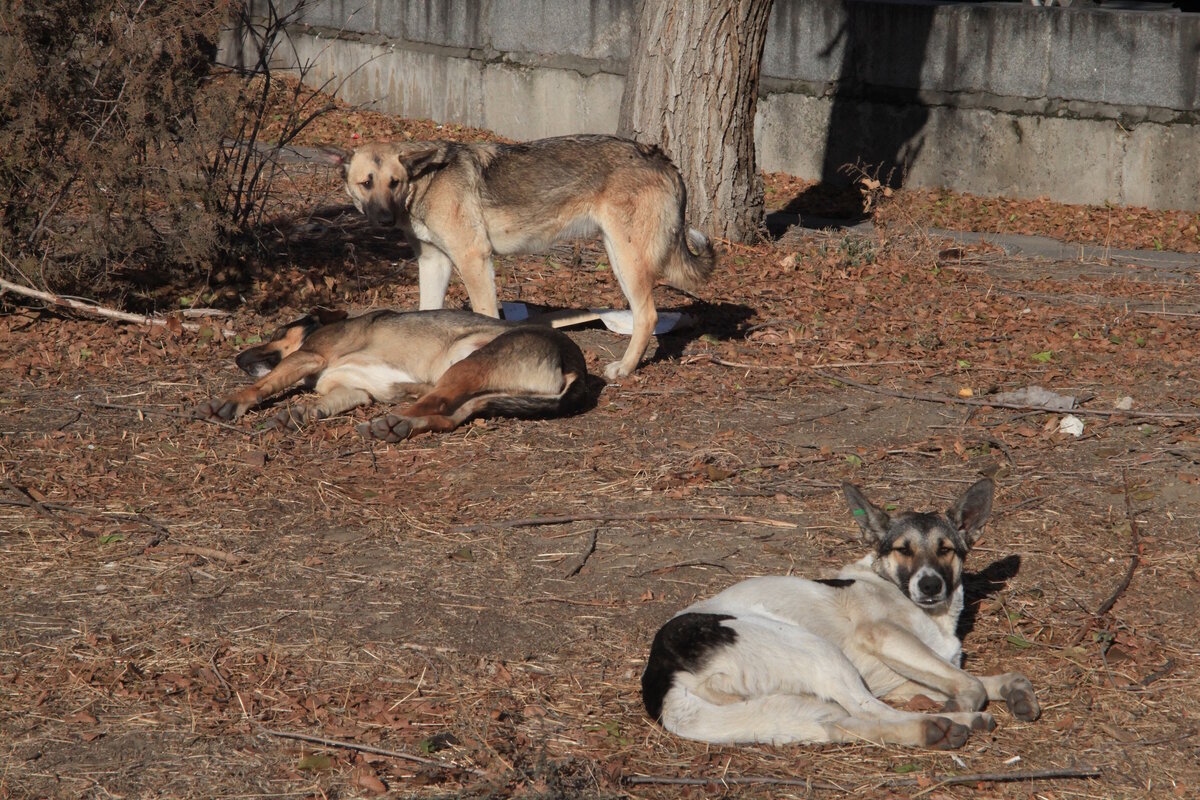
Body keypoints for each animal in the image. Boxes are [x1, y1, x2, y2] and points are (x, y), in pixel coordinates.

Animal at [192, 309, 590, 441]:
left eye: (276, 331)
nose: (237, 358)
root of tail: (578, 365)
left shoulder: (308, 355)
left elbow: (262, 384)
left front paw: (229, 403)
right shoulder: (354, 390)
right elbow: (323, 403)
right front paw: (300, 413)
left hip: (466, 364)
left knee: (435, 402)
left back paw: (392, 421)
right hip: (481, 394)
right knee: (447, 417)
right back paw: (399, 427)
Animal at [321, 133, 710, 379]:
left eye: (394, 182)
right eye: (366, 183)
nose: (385, 219)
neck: (425, 181)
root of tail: (664, 160)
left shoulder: (473, 259)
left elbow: (485, 315)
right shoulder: (434, 263)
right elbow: (424, 314)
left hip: (628, 262)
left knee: (648, 316)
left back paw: (625, 369)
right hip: (617, 255)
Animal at [643, 482, 1036, 753]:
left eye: (946, 550)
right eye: (903, 549)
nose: (929, 584)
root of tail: (664, 680)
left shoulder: (905, 677)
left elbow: (975, 678)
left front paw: (1013, 689)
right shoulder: (885, 635)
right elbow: (972, 684)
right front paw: (966, 702)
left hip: (795, 703)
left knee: (844, 723)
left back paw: (934, 729)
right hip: (817, 650)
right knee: (870, 710)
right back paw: (951, 723)